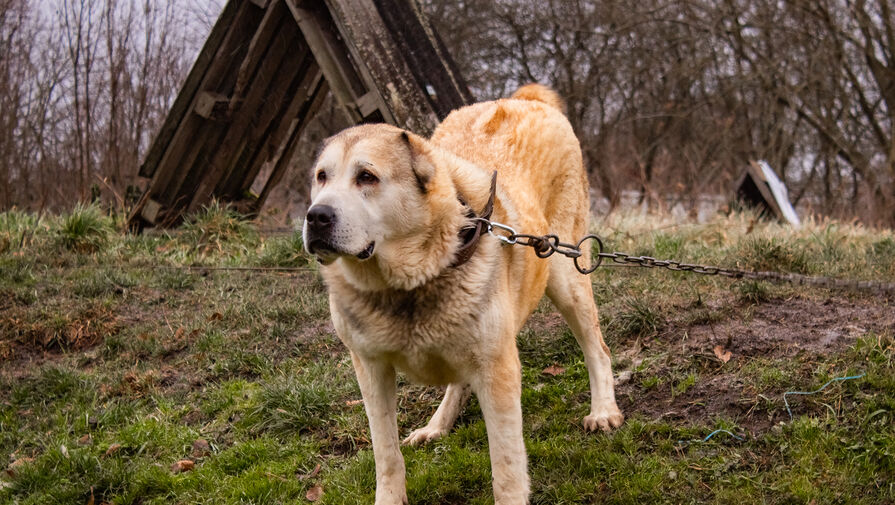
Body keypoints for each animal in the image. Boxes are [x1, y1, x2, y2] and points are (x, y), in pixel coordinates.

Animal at [300, 84, 624, 502]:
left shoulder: (497, 371)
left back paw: (604, 411)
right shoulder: (371, 369)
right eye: (321, 177)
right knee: (458, 380)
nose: (316, 216)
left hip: (564, 274)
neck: (406, 286)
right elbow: (386, 454)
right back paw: (437, 425)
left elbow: (506, 465)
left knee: (597, 349)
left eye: (367, 177)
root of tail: (525, 98)